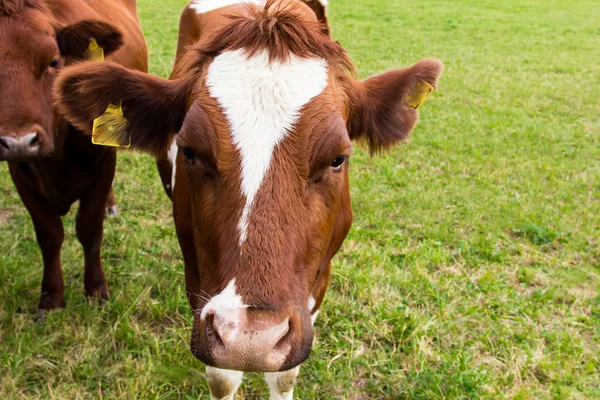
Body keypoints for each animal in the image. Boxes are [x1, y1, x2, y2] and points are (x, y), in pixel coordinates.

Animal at [0, 0, 148, 312]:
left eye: (54, 61)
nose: (19, 142)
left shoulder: (103, 160)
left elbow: (89, 230)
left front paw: (96, 290)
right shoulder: (20, 171)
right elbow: (49, 236)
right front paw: (51, 297)